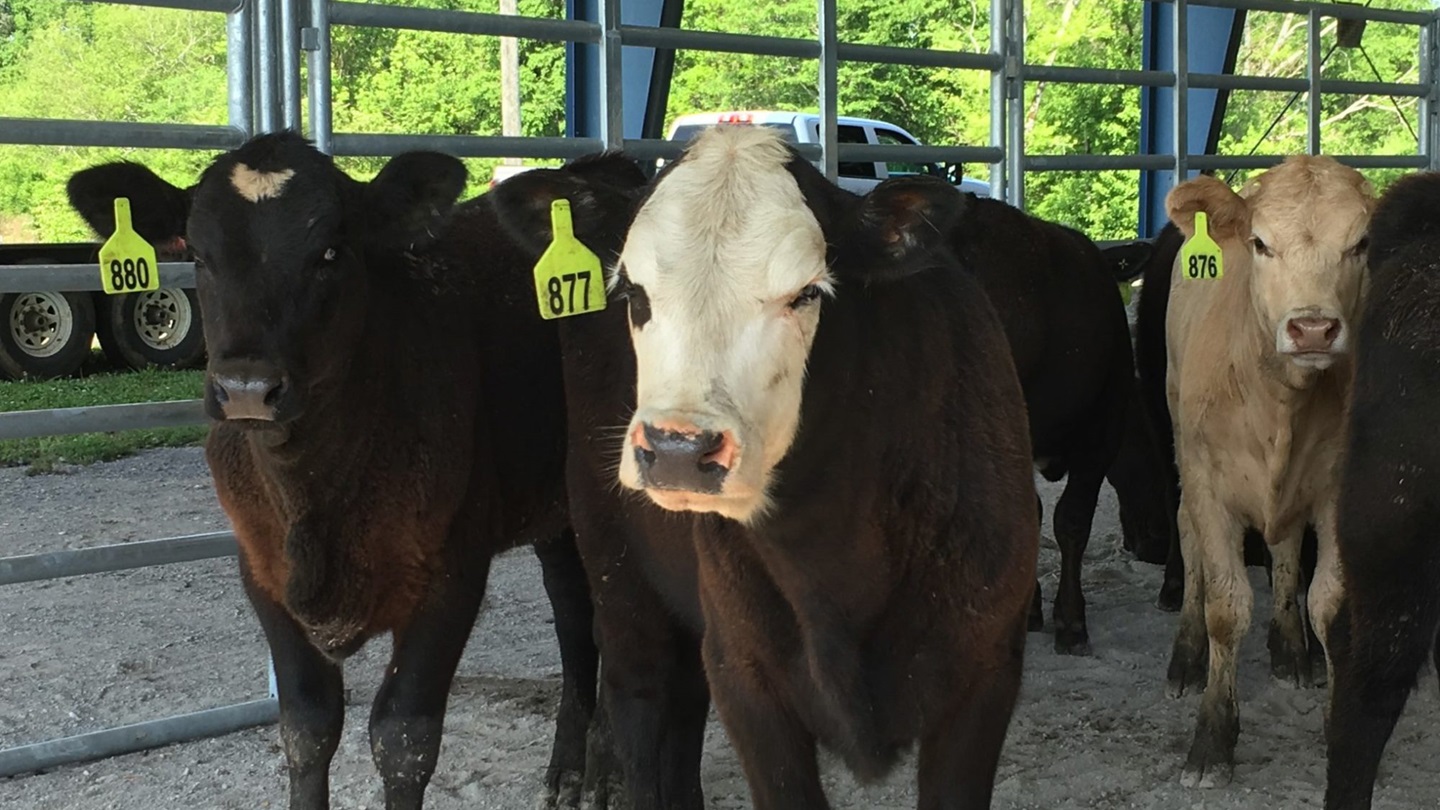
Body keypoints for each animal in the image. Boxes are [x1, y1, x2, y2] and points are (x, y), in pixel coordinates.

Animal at [65, 132, 602, 810]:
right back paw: (569, 771)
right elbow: (307, 727)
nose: (246, 388)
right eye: (200, 256)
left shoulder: (453, 571)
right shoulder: (261, 569)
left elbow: (404, 738)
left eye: (328, 251)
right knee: (573, 612)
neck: (313, 500)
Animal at [495, 124, 1038, 809]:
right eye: (635, 295)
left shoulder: (986, 669)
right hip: (616, 570)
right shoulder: (744, 670)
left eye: (805, 293)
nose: (678, 450)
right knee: (636, 693)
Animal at [1157, 156, 1374, 787]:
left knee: (1285, 549)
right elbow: (1226, 608)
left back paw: (1291, 649)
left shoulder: (1336, 490)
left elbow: (1329, 603)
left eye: (1361, 244)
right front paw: (1212, 739)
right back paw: (1186, 659)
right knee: (1189, 542)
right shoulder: (1208, 485)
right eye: (1260, 243)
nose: (1313, 328)